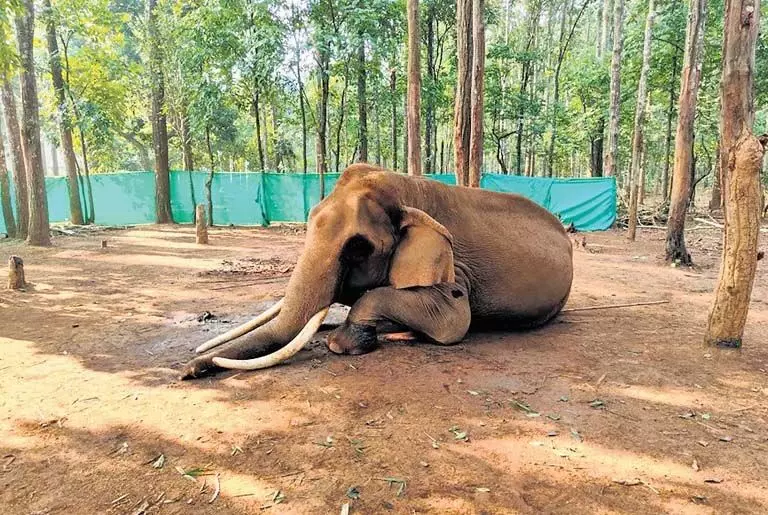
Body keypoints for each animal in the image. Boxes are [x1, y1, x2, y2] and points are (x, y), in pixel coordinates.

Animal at [183, 163, 572, 380]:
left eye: (358, 247)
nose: (191, 367)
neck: (408, 187)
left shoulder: (456, 268)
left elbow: (454, 322)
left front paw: (341, 344)